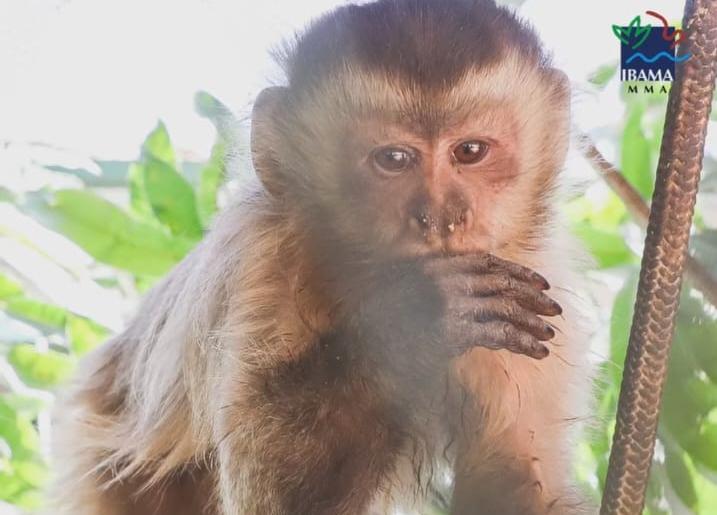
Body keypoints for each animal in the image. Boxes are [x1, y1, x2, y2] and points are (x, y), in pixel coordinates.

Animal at [51, 0, 595, 514]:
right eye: (393, 159)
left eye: (471, 151)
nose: (441, 217)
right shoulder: (264, 261)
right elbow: (264, 493)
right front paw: (417, 319)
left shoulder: (530, 276)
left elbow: (515, 480)